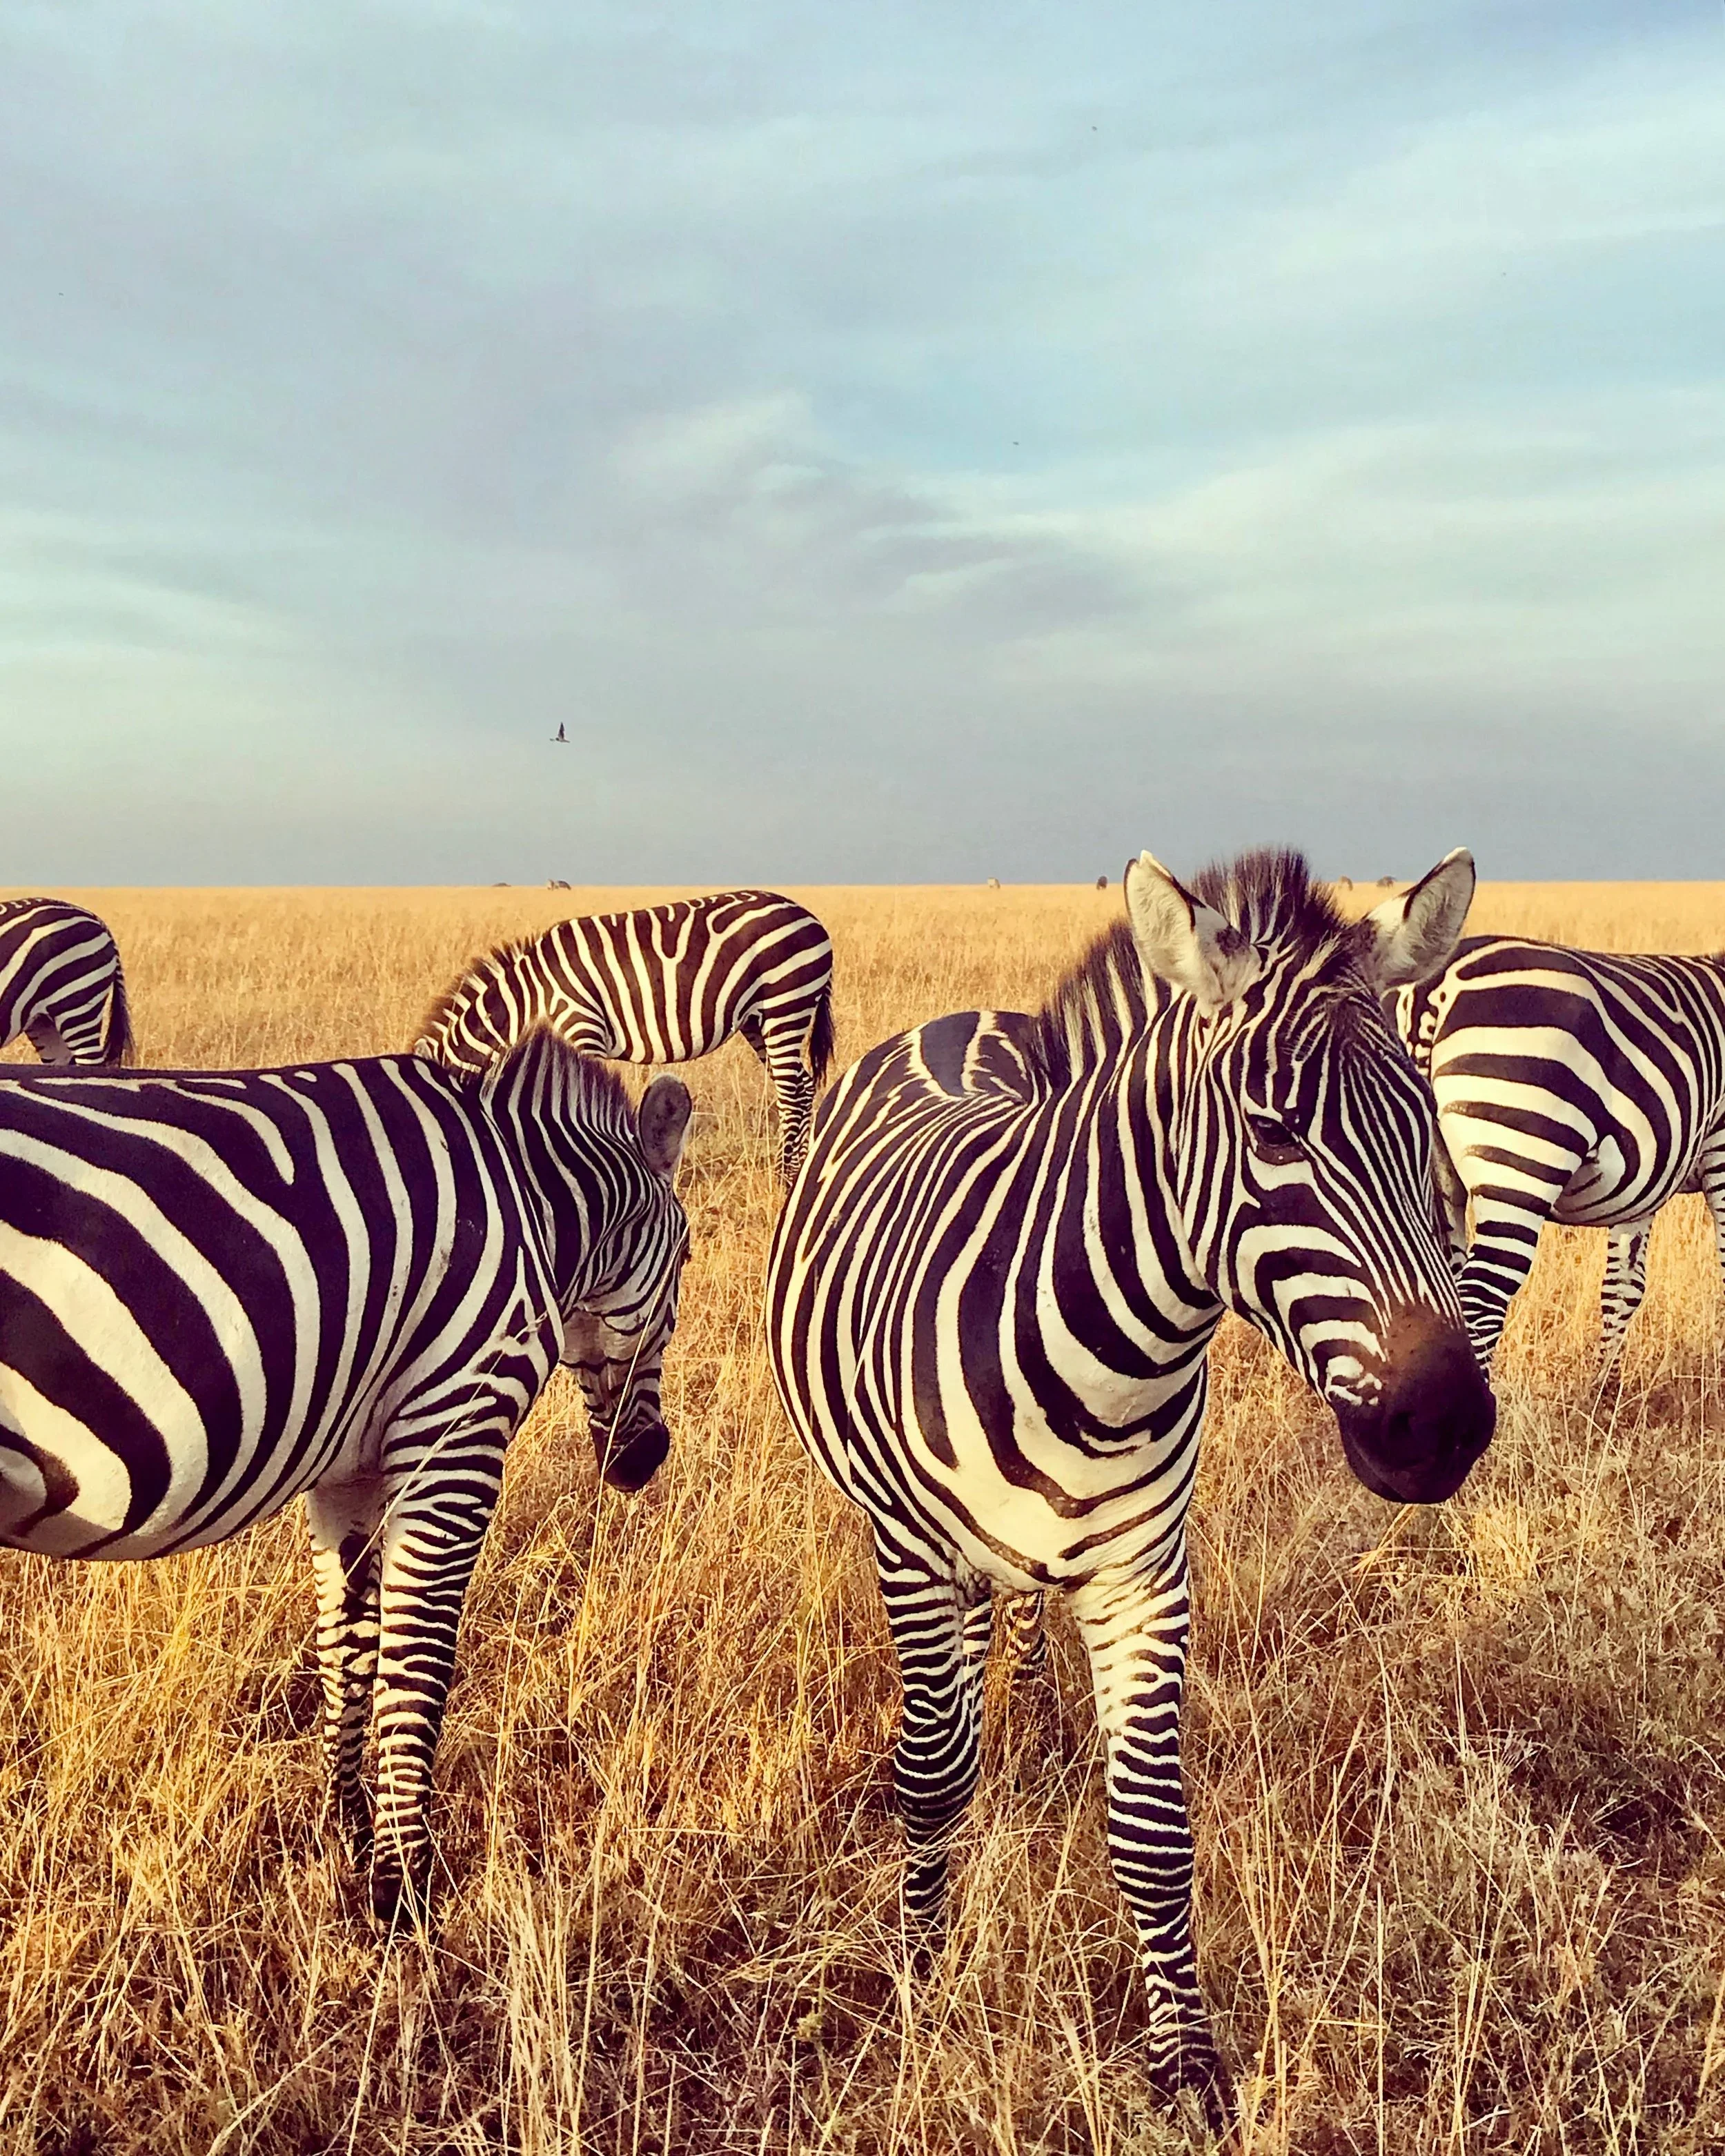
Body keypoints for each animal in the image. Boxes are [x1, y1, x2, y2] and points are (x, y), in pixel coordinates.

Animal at [0, 1032, 691, 1922]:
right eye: (687, 1257)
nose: (645, 1461)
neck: (535, 1202)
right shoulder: (456, 1427)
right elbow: (418, 1661)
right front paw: (405, 1894)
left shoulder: (350, 1465)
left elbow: (348, 1647)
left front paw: (350, 1843)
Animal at [416, 890, 834, 1184]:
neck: (528, 999)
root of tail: (809, 915)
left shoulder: (581, 1030)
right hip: (757, 1018)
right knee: (801, 1085)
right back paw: (801, 1168)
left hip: (786, 1002)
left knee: (793, 1092)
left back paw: (786, 1178)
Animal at [766, 846, 1494, 2120]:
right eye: (1274, 1133)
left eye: (1427, 1127)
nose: (1444, 1425)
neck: (1111, 1358)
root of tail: (964, 1022)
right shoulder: (914, 1553)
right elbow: (932, 1775)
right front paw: (918, 1972)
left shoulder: (1146, 1572)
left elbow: (1152, 1828)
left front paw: (1188, 2066)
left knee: (1015, 1622)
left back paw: (1037, 1714)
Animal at [1394, 934, 1725, 1368]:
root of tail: (1435, 986)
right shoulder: (1721, 1156)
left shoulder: (1645, 1182)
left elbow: (1622, 1291)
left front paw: (1604, 1386)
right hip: (1520, 1166)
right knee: (1480, 1302)